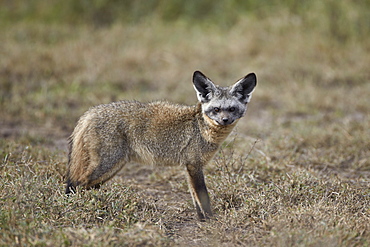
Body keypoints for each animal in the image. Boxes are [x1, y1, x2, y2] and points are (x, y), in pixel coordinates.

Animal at [66, 70, 258, 220]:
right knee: (77, 185)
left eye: (232, 109)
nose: (225, 120)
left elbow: (195, 197)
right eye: (216, 109)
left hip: (110, 169)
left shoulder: (190, 167)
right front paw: (211, 220)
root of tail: (90, 112)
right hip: (107, 166)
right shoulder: (194, 165)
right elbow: (203, 197)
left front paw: (202, 219)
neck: (201, 127)